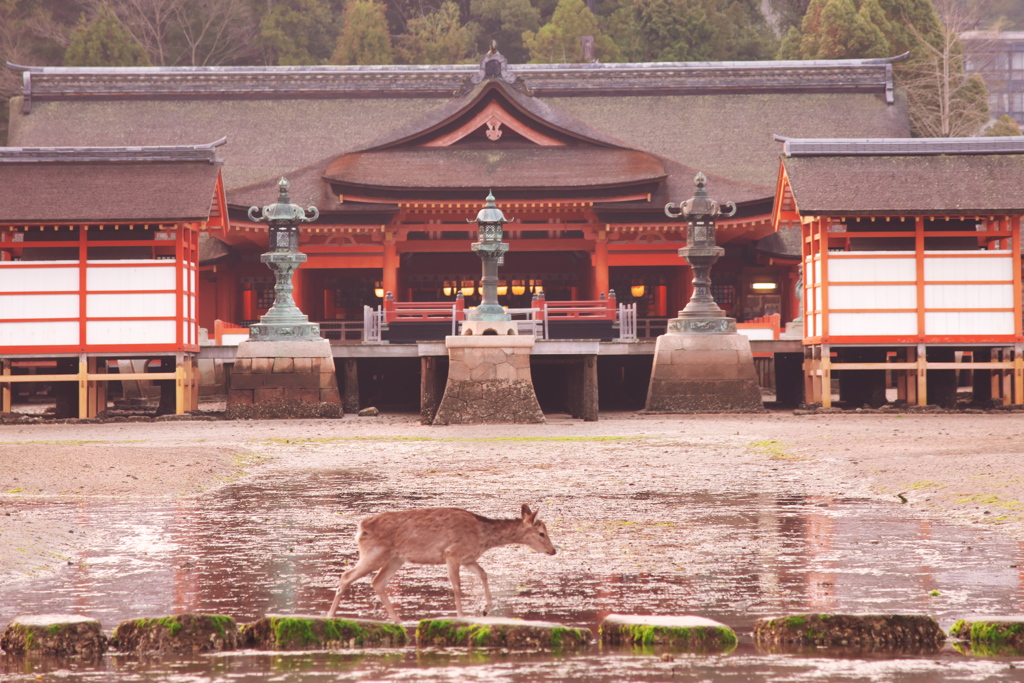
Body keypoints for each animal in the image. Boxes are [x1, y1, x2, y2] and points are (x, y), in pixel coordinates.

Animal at [326, 504, 556, 623]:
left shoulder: (468, 558)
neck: (482, 537)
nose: (553, 550)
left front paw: (485, 609)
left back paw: (398, 620)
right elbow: (456, 586)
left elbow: (484, 574)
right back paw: (330, 615)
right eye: (541, 533)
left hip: (395, 558)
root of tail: (360, 528)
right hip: (374, 553)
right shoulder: (452, 554)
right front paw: (462, 616)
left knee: (377, 582)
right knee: (346, 575)